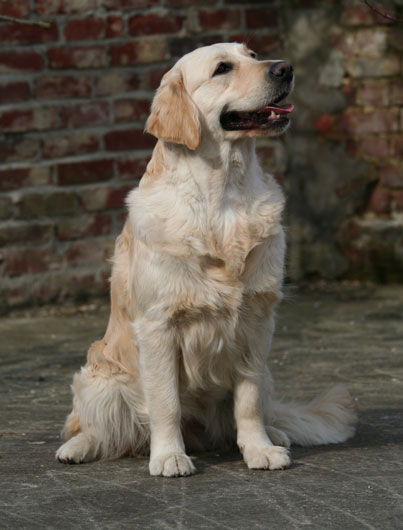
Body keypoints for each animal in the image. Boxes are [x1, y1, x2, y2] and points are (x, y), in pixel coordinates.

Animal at [56, 43, 356, 476]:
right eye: (222, 69)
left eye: (253, 54)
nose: (285, 68)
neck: (224, 196)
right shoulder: (158, 326)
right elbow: (165, 403)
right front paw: (168, 456)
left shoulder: (257, 323)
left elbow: (247, 402)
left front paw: (259, 449)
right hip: (99, 379)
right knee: (99, 428)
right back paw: (78, 447)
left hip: (268, 373)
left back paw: (275, 433)